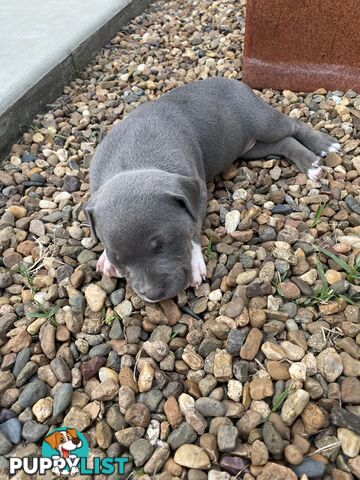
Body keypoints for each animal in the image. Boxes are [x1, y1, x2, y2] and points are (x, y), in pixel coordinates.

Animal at [84, 77, 340, 302]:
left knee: (293, 126)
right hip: (249, 147)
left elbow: (194, 228)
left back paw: (321, 149)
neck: (133, 162)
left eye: (164, 243)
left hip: (263, 121)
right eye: (118, 257)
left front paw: (195, 264)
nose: (153, 295)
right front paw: (105, 259)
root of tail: (234, 81)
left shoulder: (197, 193)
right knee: (285, 142)